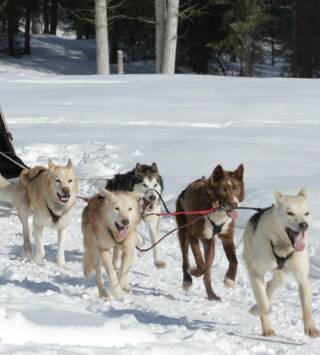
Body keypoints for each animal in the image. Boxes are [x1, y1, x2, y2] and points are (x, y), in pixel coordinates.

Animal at [176, 165, 244, 302]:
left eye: (236, 188)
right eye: (223, 189)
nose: (234, 204)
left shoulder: (227, 237)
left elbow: (234, 260)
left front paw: (229, 279)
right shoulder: (192, 236)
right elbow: (201, 264)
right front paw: (193, 271)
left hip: (209, 243)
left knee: (207, 273)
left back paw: (211, 294)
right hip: (183, 233)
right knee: (186, 259)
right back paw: (187, 279)